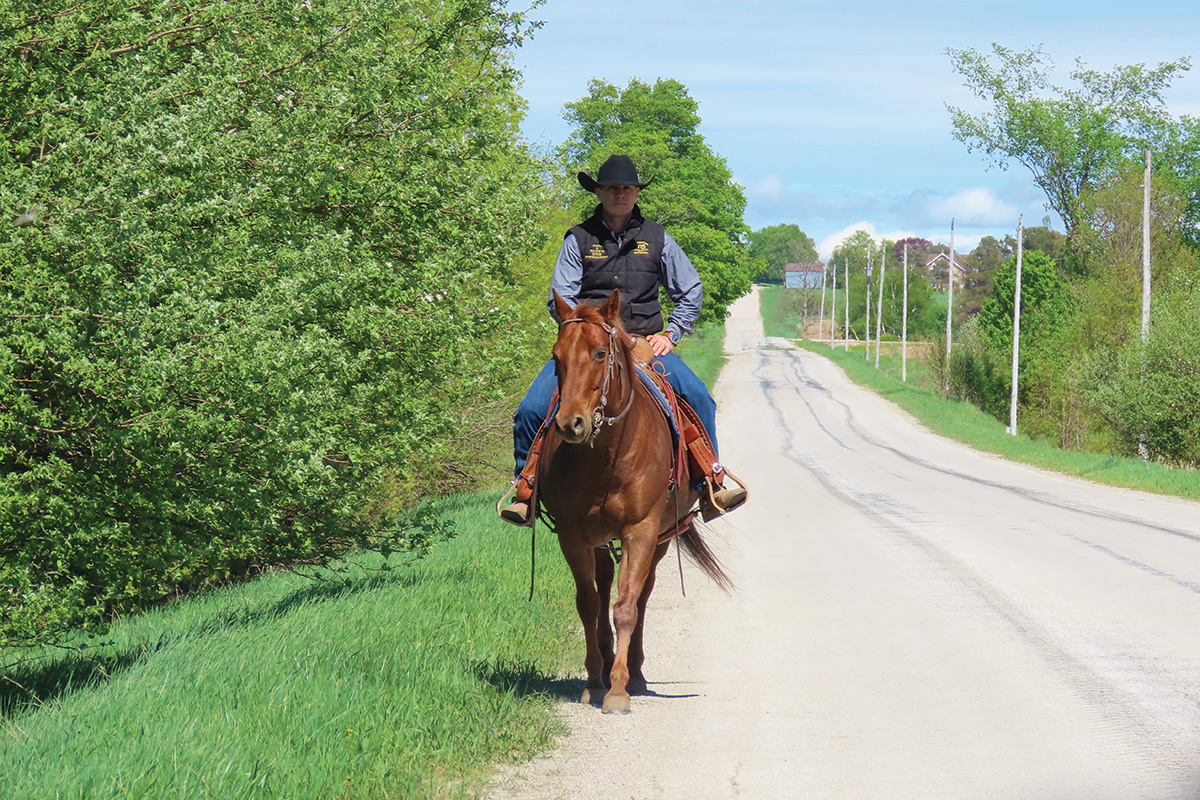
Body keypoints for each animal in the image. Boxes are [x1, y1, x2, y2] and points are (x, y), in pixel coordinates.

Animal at [537, 287, 729, 714]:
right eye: (556, 357)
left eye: (599, 354)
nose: (570, 423)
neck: (608, 456)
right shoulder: (573, 535)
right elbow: (589, 604)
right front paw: (595, 681)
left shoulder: (640, 531)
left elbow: (626, 607)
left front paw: (619, 690)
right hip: (602, 540)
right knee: (606, 582)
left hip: (659, 538)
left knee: (641, 595)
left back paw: (635, 674)